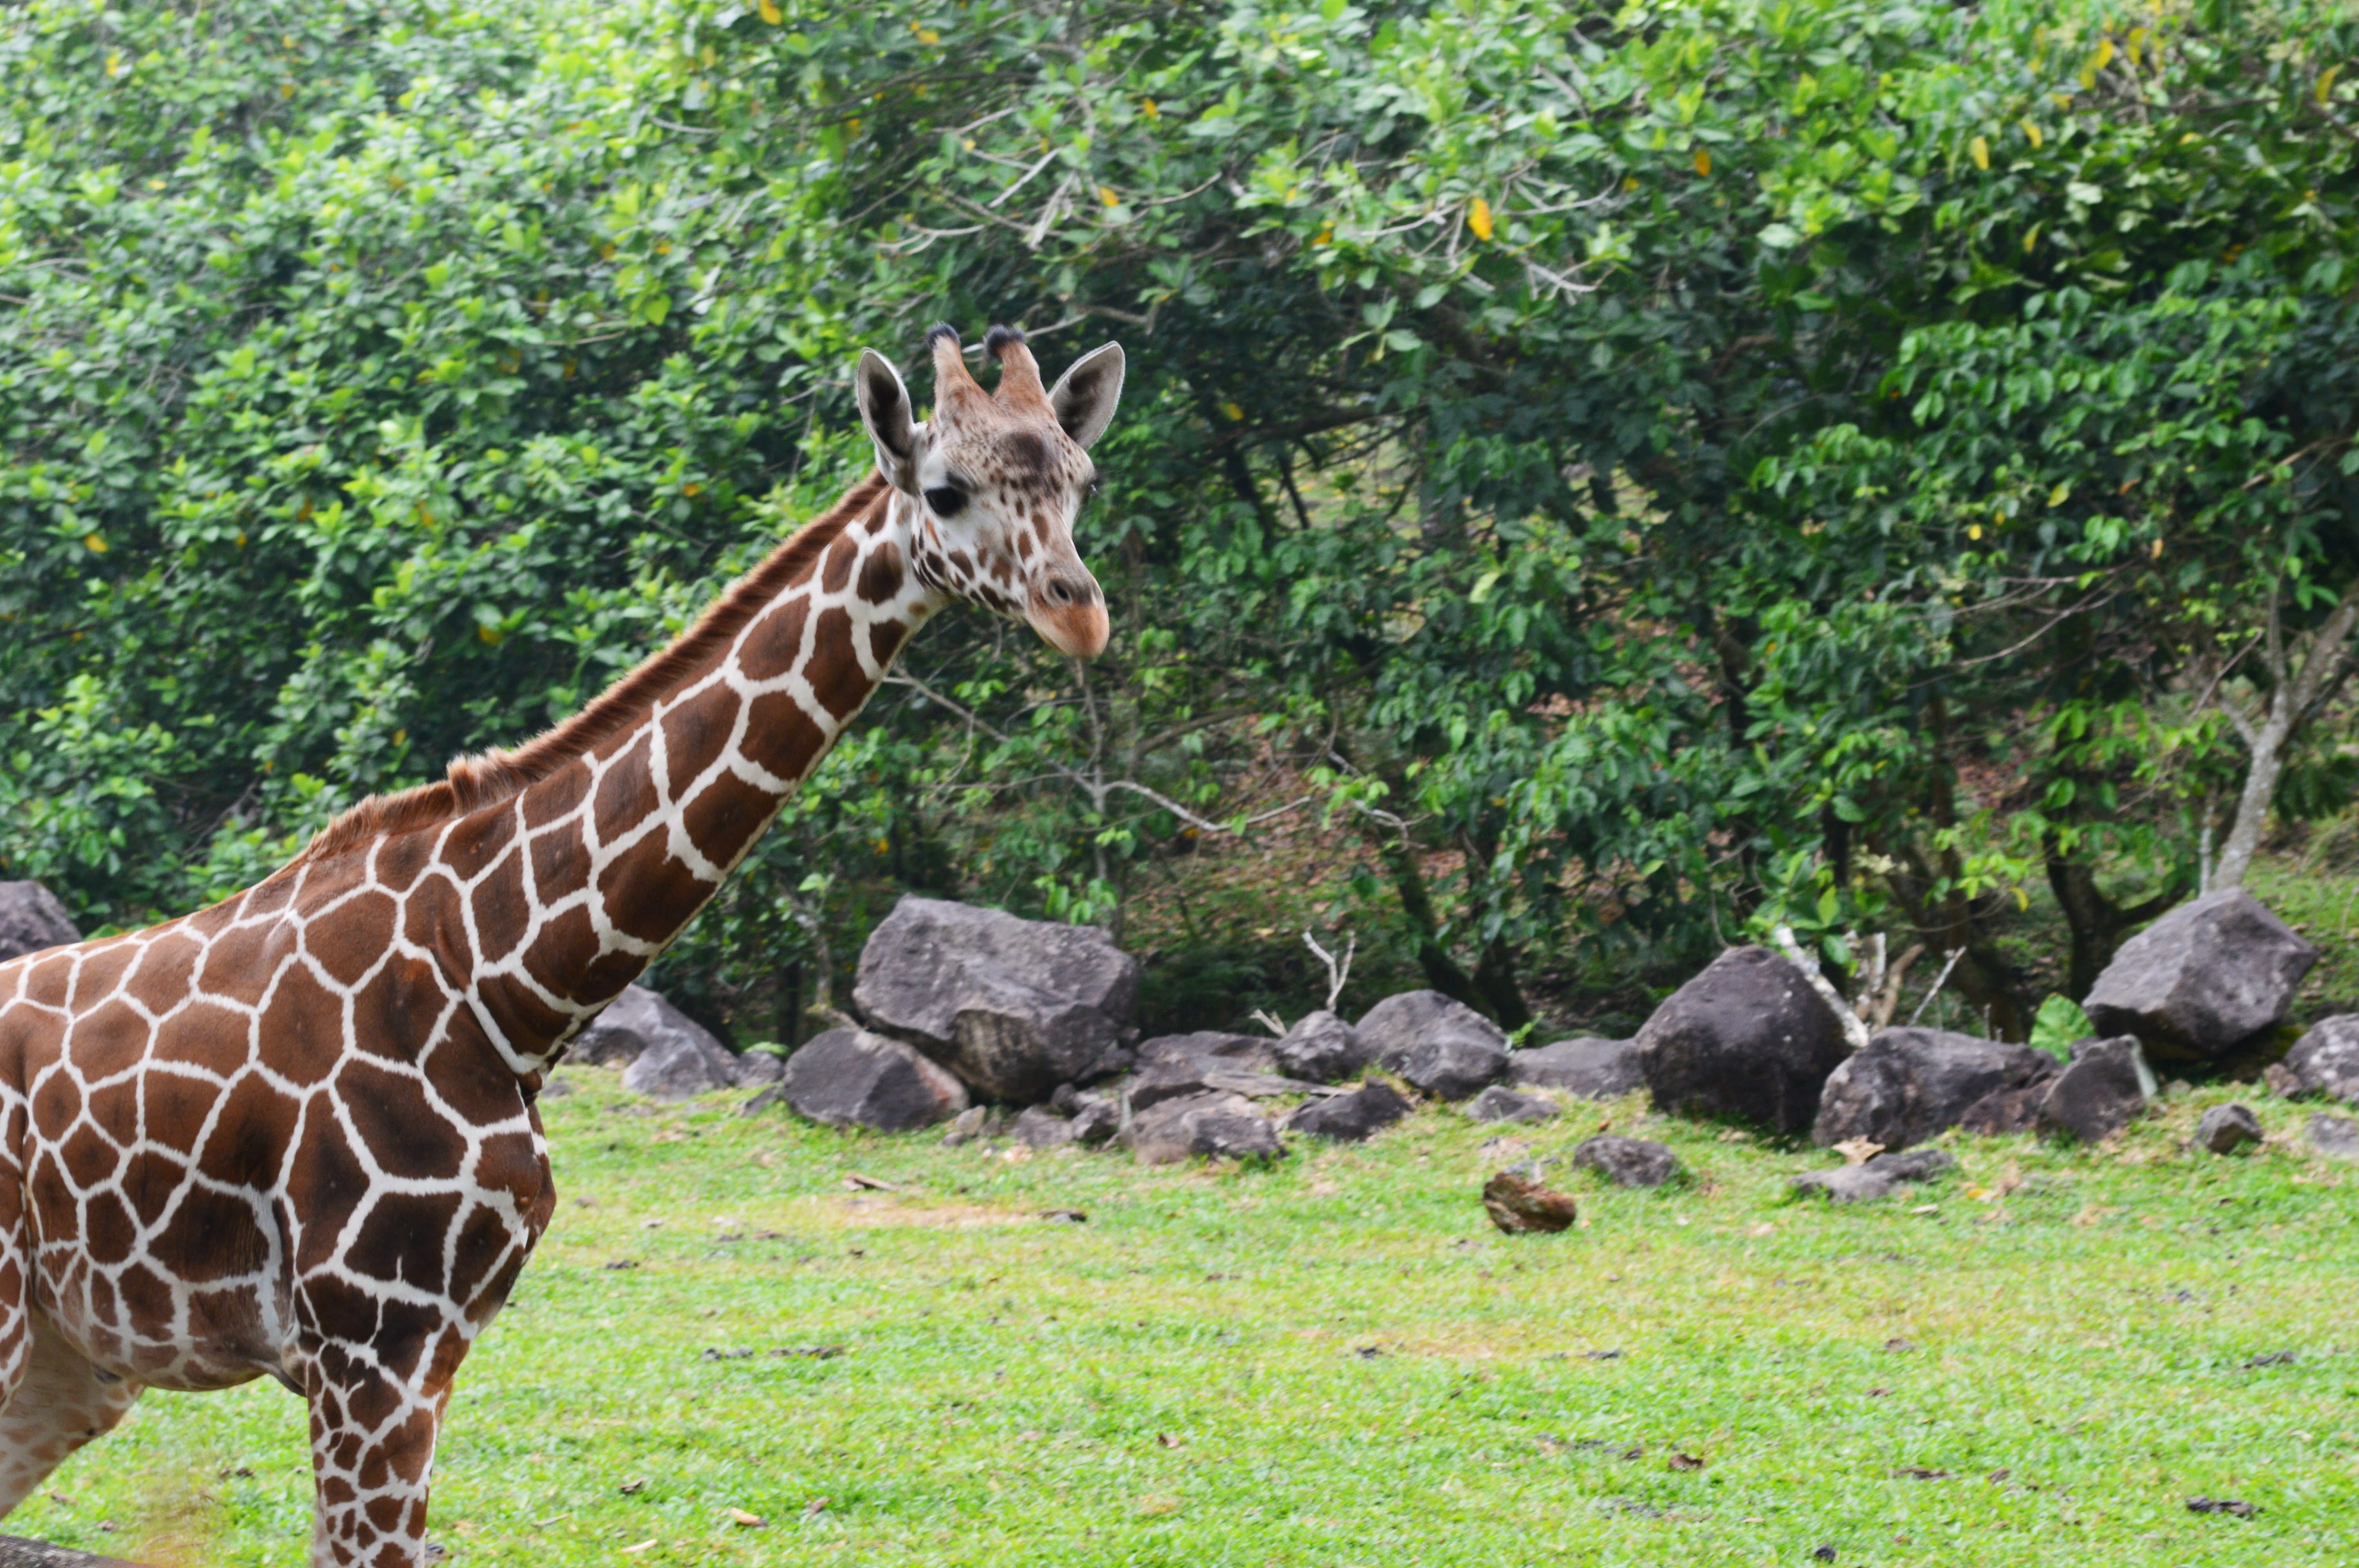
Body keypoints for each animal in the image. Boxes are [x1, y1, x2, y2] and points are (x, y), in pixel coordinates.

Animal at [0, 323, 1127, 1556]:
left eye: (1080, 483)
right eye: (944, 489)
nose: (1078, 611)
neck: (508, 988)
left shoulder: (421, 1347)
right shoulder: (368, 1339)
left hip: (64, 1367)